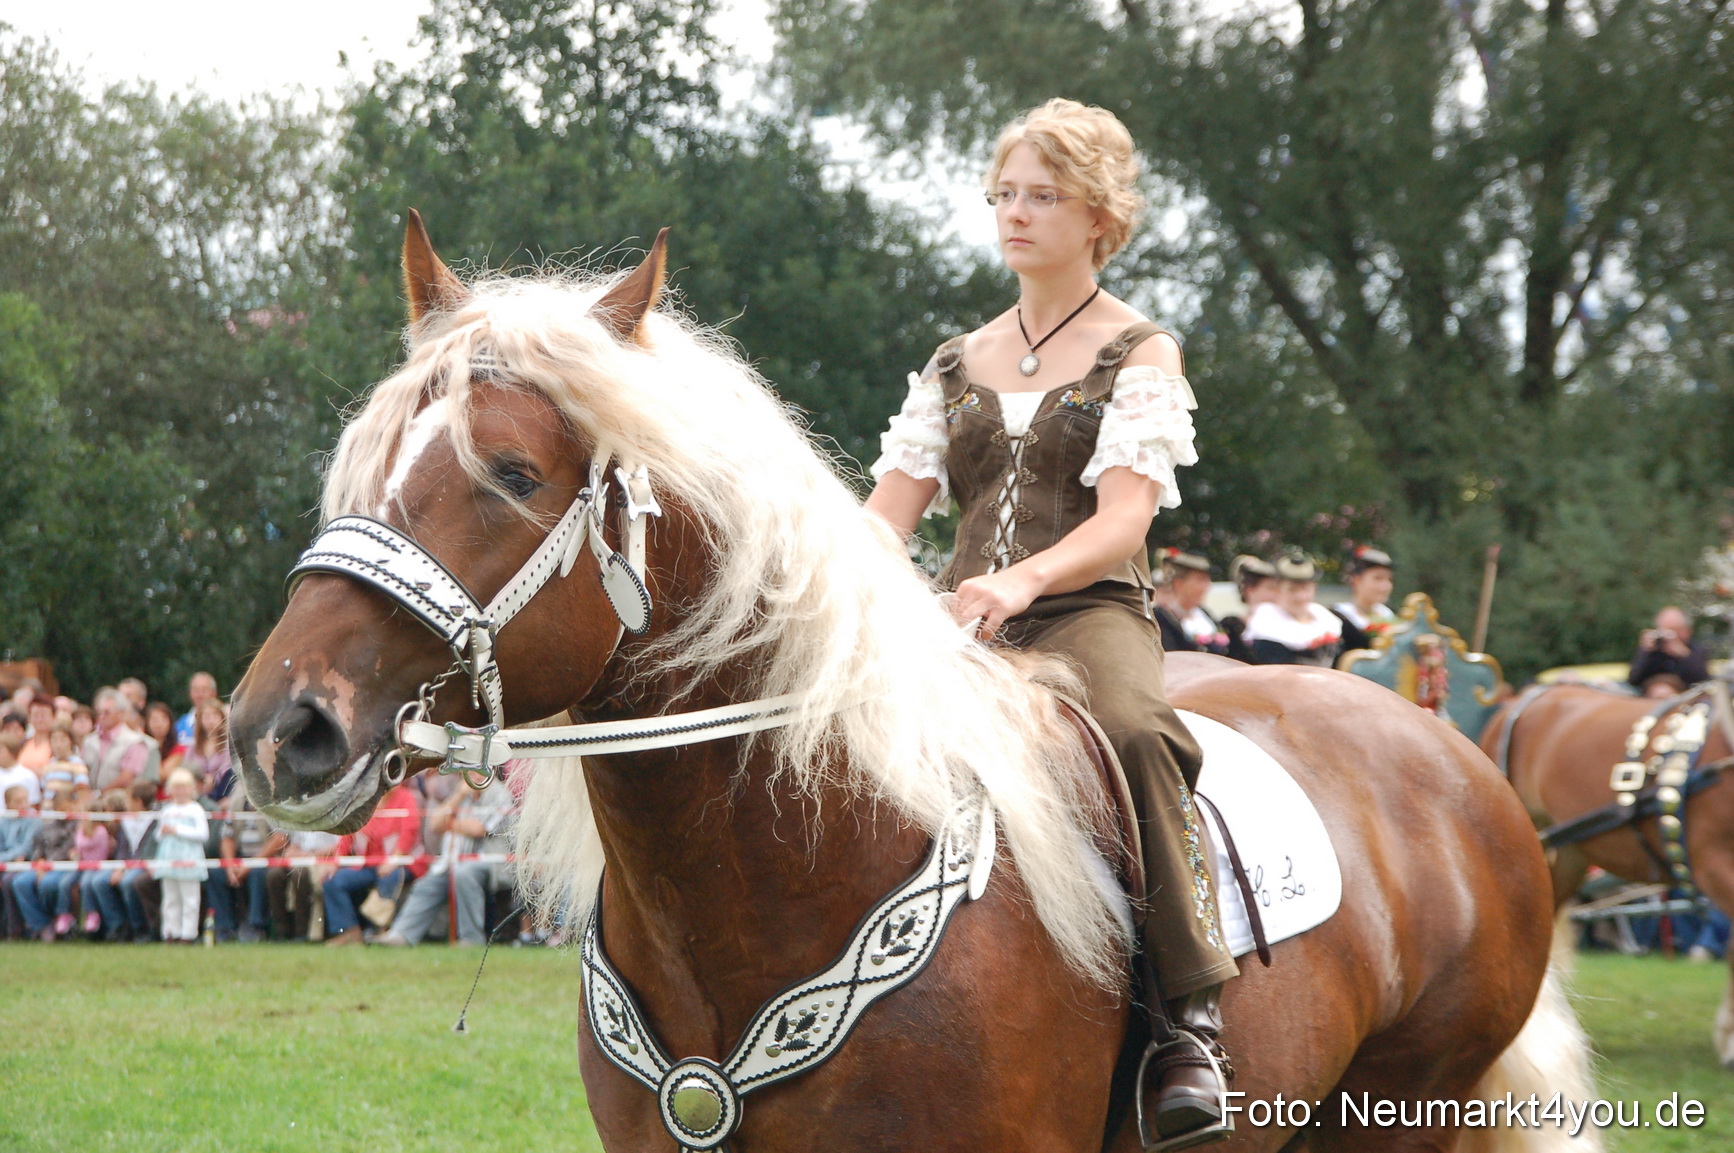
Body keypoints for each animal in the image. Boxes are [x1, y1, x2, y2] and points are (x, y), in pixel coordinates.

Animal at [231, 213, 1598, 1152]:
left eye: (510, 473)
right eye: (359, 463)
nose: (280, 730)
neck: (797, 867)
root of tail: (1451, 746)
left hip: (1407, 1109)